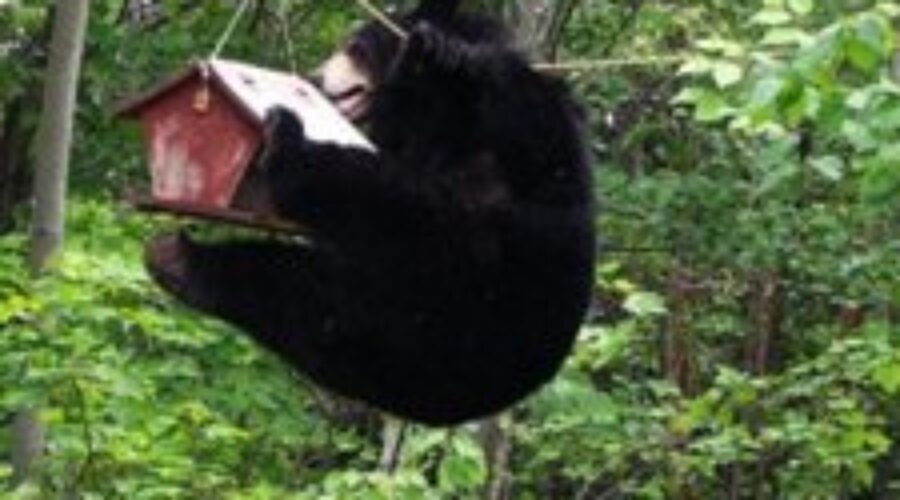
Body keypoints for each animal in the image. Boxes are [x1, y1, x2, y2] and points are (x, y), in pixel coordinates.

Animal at [145, 0, 595, 426]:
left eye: (356, 48)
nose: (315, 78)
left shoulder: (514, 155)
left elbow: (416, 206)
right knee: (285, 288)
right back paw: (177, 260)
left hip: (418, 319)